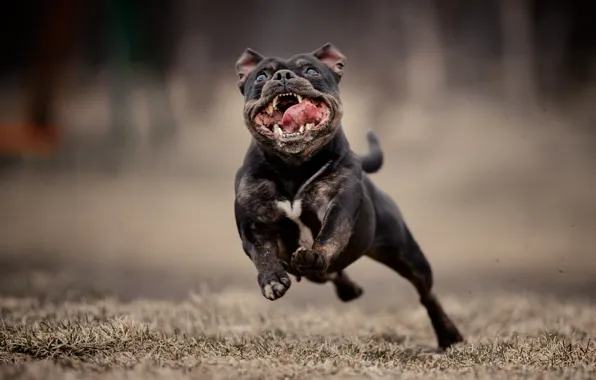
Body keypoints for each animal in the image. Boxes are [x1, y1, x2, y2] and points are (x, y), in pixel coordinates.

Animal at [233, 43, 466, 348]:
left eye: (311, 70)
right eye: (261, 76)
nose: (282, 76)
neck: (292, 167)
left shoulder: (339, 204)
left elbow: (331, 234)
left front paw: (315, 254)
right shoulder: (253, 222)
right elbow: (261, 252)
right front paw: (272, 279)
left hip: (407, 254)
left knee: (427, 295)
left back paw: (448, 335)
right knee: (332, 274)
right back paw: (348, 288)